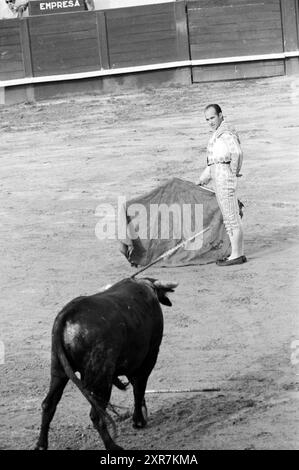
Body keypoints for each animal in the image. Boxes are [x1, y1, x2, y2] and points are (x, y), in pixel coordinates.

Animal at [36, 278, 179, 450]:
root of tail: (67, 315)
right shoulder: (148, 357)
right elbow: (139, 388)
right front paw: (138, 421)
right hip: (102, 378)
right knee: (96, 414)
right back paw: (112, 445)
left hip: (58, 370)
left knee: (48, 404)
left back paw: (41, 444)